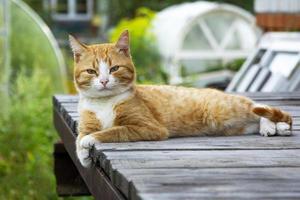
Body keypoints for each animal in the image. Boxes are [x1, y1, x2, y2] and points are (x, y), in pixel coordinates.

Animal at [69, 30, 292, 167]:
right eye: (91, 71)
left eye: (114, 68)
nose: (104, 81)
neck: (105, 102)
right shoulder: (87, 122)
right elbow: (79, 136)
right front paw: (83, 154)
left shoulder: (148, 127)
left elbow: (113, 130)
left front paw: (90, 140)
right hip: (232, 125)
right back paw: (273, 127)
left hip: (222, 111)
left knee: (257, 106)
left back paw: (274, 125)